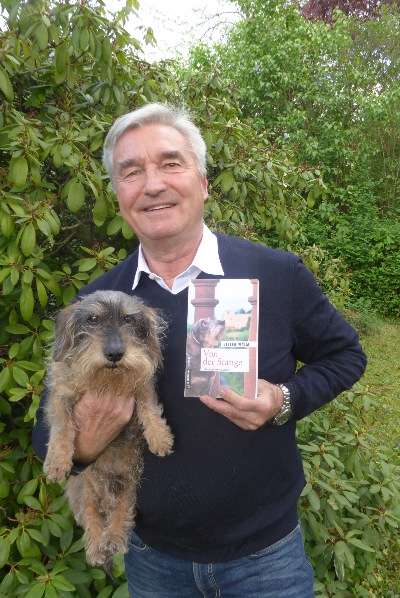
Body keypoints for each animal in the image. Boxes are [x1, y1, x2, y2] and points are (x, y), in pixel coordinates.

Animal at [43, 290, 174, 566]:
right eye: (93, 319)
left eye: (128, 319)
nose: (115, 353)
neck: (107, 380)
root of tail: (104, 495)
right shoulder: (61, 396)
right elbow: (62, 427)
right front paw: (57, 461)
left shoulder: (141, 387)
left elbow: (149, 407)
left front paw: (159, 437)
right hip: (82, 488)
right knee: (91, 517)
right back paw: (96, 549)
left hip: (129, 484)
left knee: (121, 512)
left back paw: (113, 538)